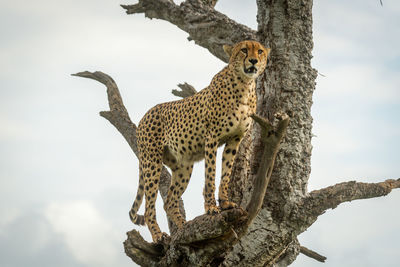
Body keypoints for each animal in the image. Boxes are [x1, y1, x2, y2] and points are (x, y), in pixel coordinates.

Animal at [130, 39, 270, 243]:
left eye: (260, 51)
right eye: (244, 50)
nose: (253, 61)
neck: (245, 84)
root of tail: (145, 115)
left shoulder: (234, 140)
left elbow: (226, 173)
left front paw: (225, 203)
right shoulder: (211, 139)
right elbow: (210, 175)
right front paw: (211, 207)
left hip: (183, 167)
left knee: (170, 201)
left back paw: (183, 227)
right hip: (152, 162)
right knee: (150, 206)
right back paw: (158, 235)